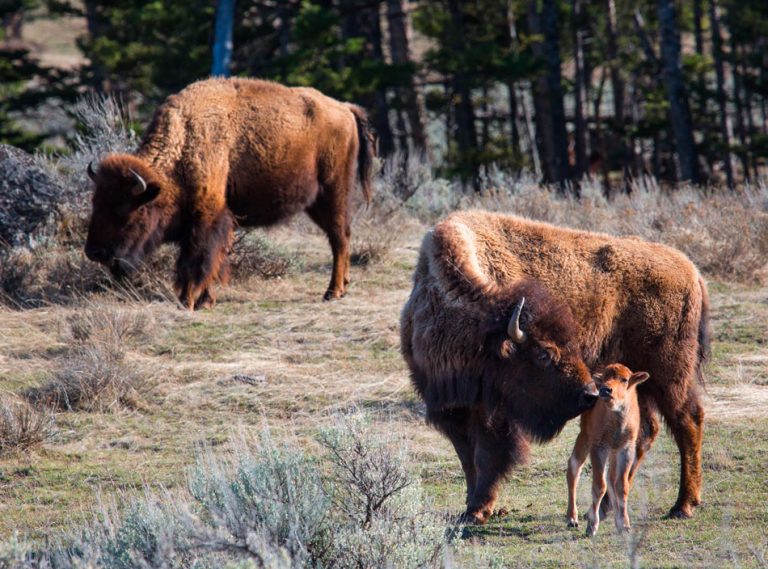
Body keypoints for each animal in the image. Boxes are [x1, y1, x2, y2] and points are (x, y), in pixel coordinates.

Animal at [83, 77, 376, 308]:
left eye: (125, 210)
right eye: (95, 203)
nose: (94, 252)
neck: (184, 142)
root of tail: (344, 108)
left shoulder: (206, 216)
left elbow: (196, 259)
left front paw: (188, 301)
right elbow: (210, 259)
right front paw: (205, 301)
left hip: (333, 191)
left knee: (339, 236)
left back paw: (332, 292)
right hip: (316, 202)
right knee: (339, 236)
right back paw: (341, 288)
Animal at [568, 362, 652, 536]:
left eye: (625, 379)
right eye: (605, 377)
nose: (605, 390)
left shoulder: (625, 449)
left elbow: (621, 486)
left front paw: (625, 525)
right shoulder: (599, 448)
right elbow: (599, 486)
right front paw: (591, 527)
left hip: (611, 452)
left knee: (611, 478)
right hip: (585, 437)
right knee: (573, 468)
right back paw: (572, 519)